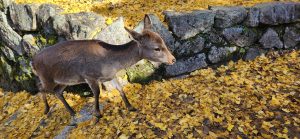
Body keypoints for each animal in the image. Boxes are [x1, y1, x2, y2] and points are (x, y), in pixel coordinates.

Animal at [30, 14, 176, 121]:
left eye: (163, 41)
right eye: (156, 48)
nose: (173, 59)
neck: (111, 62)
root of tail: (33, 62)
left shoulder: (110, 75)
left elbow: (120, 89)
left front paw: (131, 107)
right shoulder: (89, 76)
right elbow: (97, 92)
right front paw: (97, 113)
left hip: (66, 80)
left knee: (57, 91)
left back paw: (72, 112)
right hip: (47, 78)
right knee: (40, 87)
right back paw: (46, 109)